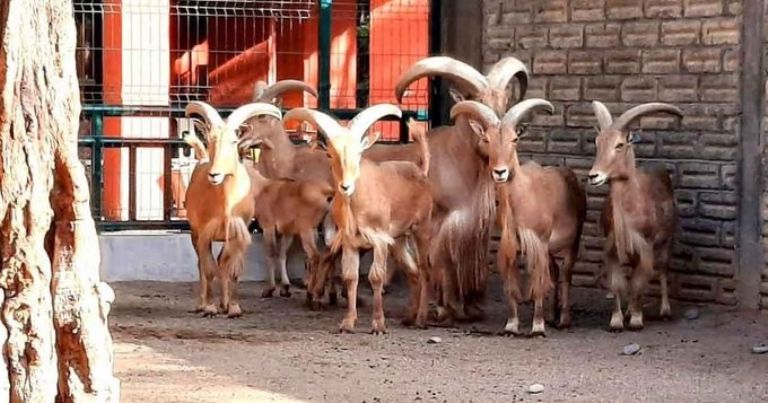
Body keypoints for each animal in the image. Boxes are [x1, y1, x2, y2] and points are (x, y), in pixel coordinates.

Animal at [183, 101, 282, 317]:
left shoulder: (239, 232)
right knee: (201, 265)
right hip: (194, 232)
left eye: (234, 141)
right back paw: (202, 304)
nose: (214, 174)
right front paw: (210, 307)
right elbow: (208, 269)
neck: (226, 203)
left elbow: (233, 270)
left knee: (222, 262)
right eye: (211, 140)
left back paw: (225, 303)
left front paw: (234, 307)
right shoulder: (204, 233)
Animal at [285, 105, 433, 334]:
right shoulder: (349, 242)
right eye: (330, 154)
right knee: (413, 271)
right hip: (399, 239)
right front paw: (347, 322)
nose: (345, 186)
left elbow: (376, 277)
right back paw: (409, 317)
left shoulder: (379, 240)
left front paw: (378, 325)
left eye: (359, 153)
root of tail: (420, 171)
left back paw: (421, 319)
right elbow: (350, 277)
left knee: (425, 270)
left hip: (421, 230)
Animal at [451, 99, 587, 336]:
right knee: (554, 272)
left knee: (565, 276)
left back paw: (564, 319)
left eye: (514, 139)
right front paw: (512, 326)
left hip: (572, 242)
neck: (523, 199)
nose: (500, 172)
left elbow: (538, 284)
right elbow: (512, 287)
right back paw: (552, 315)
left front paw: (538, 327)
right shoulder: (511, 245)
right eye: (487, 139)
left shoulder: (539, 243)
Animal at [587, 101, 682, 331]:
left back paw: (665, 310)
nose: (594, 176)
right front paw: (616, 321)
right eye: (597, 142)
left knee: (663, 268)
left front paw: (637, 319)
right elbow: (618, 283)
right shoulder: (612, 246)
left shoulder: (645, 245)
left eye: (619, 145)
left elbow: (639, 282)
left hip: (667, 240)